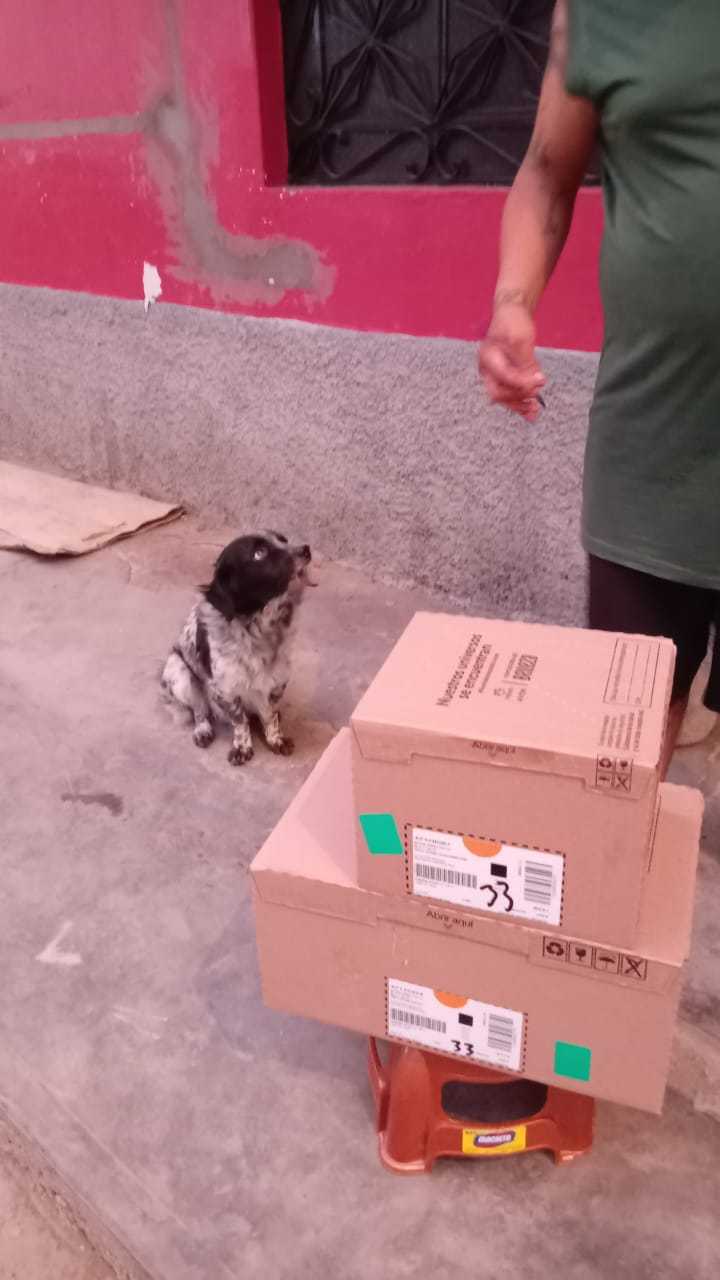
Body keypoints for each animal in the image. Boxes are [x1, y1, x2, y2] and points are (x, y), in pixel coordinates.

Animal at [161, 532, 311, 765]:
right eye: (259, 553)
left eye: (283, 540)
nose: (306, 549)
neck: (259, 629)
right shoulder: (225, 690)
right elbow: (239, 721)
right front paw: (242, 747)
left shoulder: (277, 682)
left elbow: (269, 716)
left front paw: (275, 739)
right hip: (179, 673)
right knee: (199, 710)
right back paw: (202, 730)